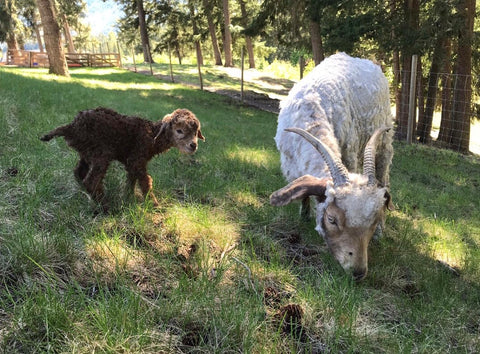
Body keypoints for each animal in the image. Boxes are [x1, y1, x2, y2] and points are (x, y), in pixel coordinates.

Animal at [270, 52, 394, 280]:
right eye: (331, 219)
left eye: (372, 222)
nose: (358, 271)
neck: (310, 116)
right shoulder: (291, 167)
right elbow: (304, 193)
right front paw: (304, 215)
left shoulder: (349, 153)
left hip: (384, 142)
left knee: (384, 176)